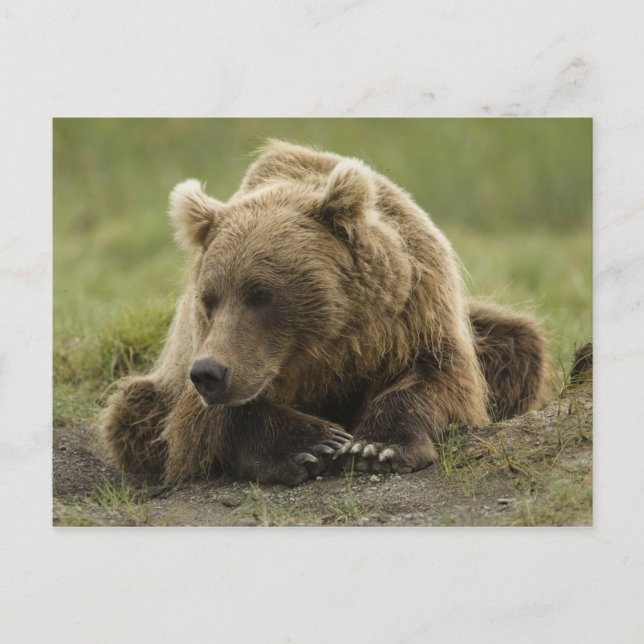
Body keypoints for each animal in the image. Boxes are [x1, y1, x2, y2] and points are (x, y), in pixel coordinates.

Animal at [99, 140, 548, 486]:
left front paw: (377, 447)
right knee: (133, 411)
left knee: (518, 342)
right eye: (208, 299)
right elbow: (200, 421)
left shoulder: (415, 312)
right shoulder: (201, 356)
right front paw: (313, 445)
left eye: (260, 294)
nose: (210, 373)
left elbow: (440, 378)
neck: (328, 347)